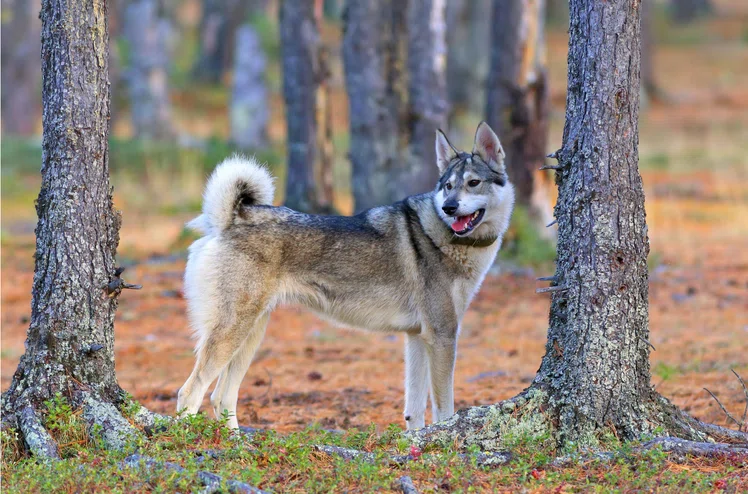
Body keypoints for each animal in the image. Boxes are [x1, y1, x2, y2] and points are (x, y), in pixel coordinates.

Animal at [176, 122, 516, 428]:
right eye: (448, 186)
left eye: (473, 183)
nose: (449, 207)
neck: (447, 239)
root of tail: (230, 220)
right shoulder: (442, 336)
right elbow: (444, 409)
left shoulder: (418, 337)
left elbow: (415, 412)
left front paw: (417, 445)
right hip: (233, 334)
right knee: (189, 393)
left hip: (251, 335)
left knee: (222, 398)